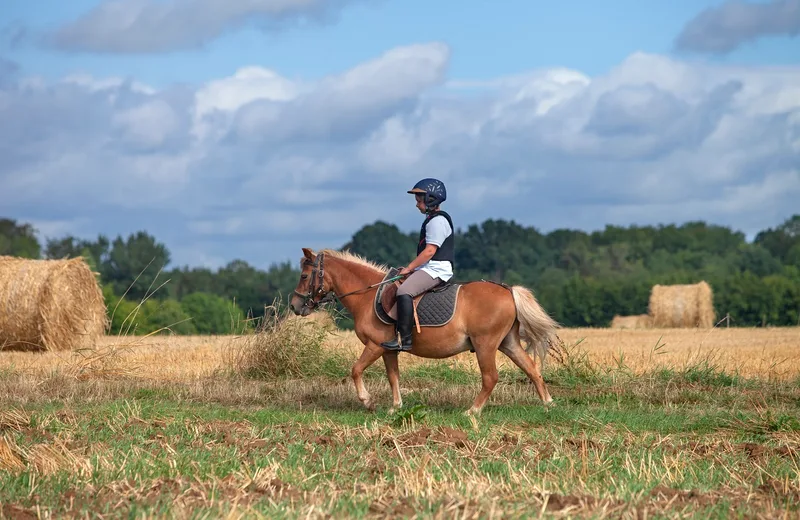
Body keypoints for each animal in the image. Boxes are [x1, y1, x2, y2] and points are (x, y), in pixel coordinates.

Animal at [289, 247, 559, 415]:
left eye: (304, 275)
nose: (294, 306)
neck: (368, 294)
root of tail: (508, 290)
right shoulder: (389, 350)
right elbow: (393, 376)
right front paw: (395, 407)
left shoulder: (375, 346)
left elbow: (355, 369)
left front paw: (368, 402)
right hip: (508, 343)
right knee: (532, 369)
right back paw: (548, 404)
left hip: (486, 345)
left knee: (491, 377)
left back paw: (472, 411)